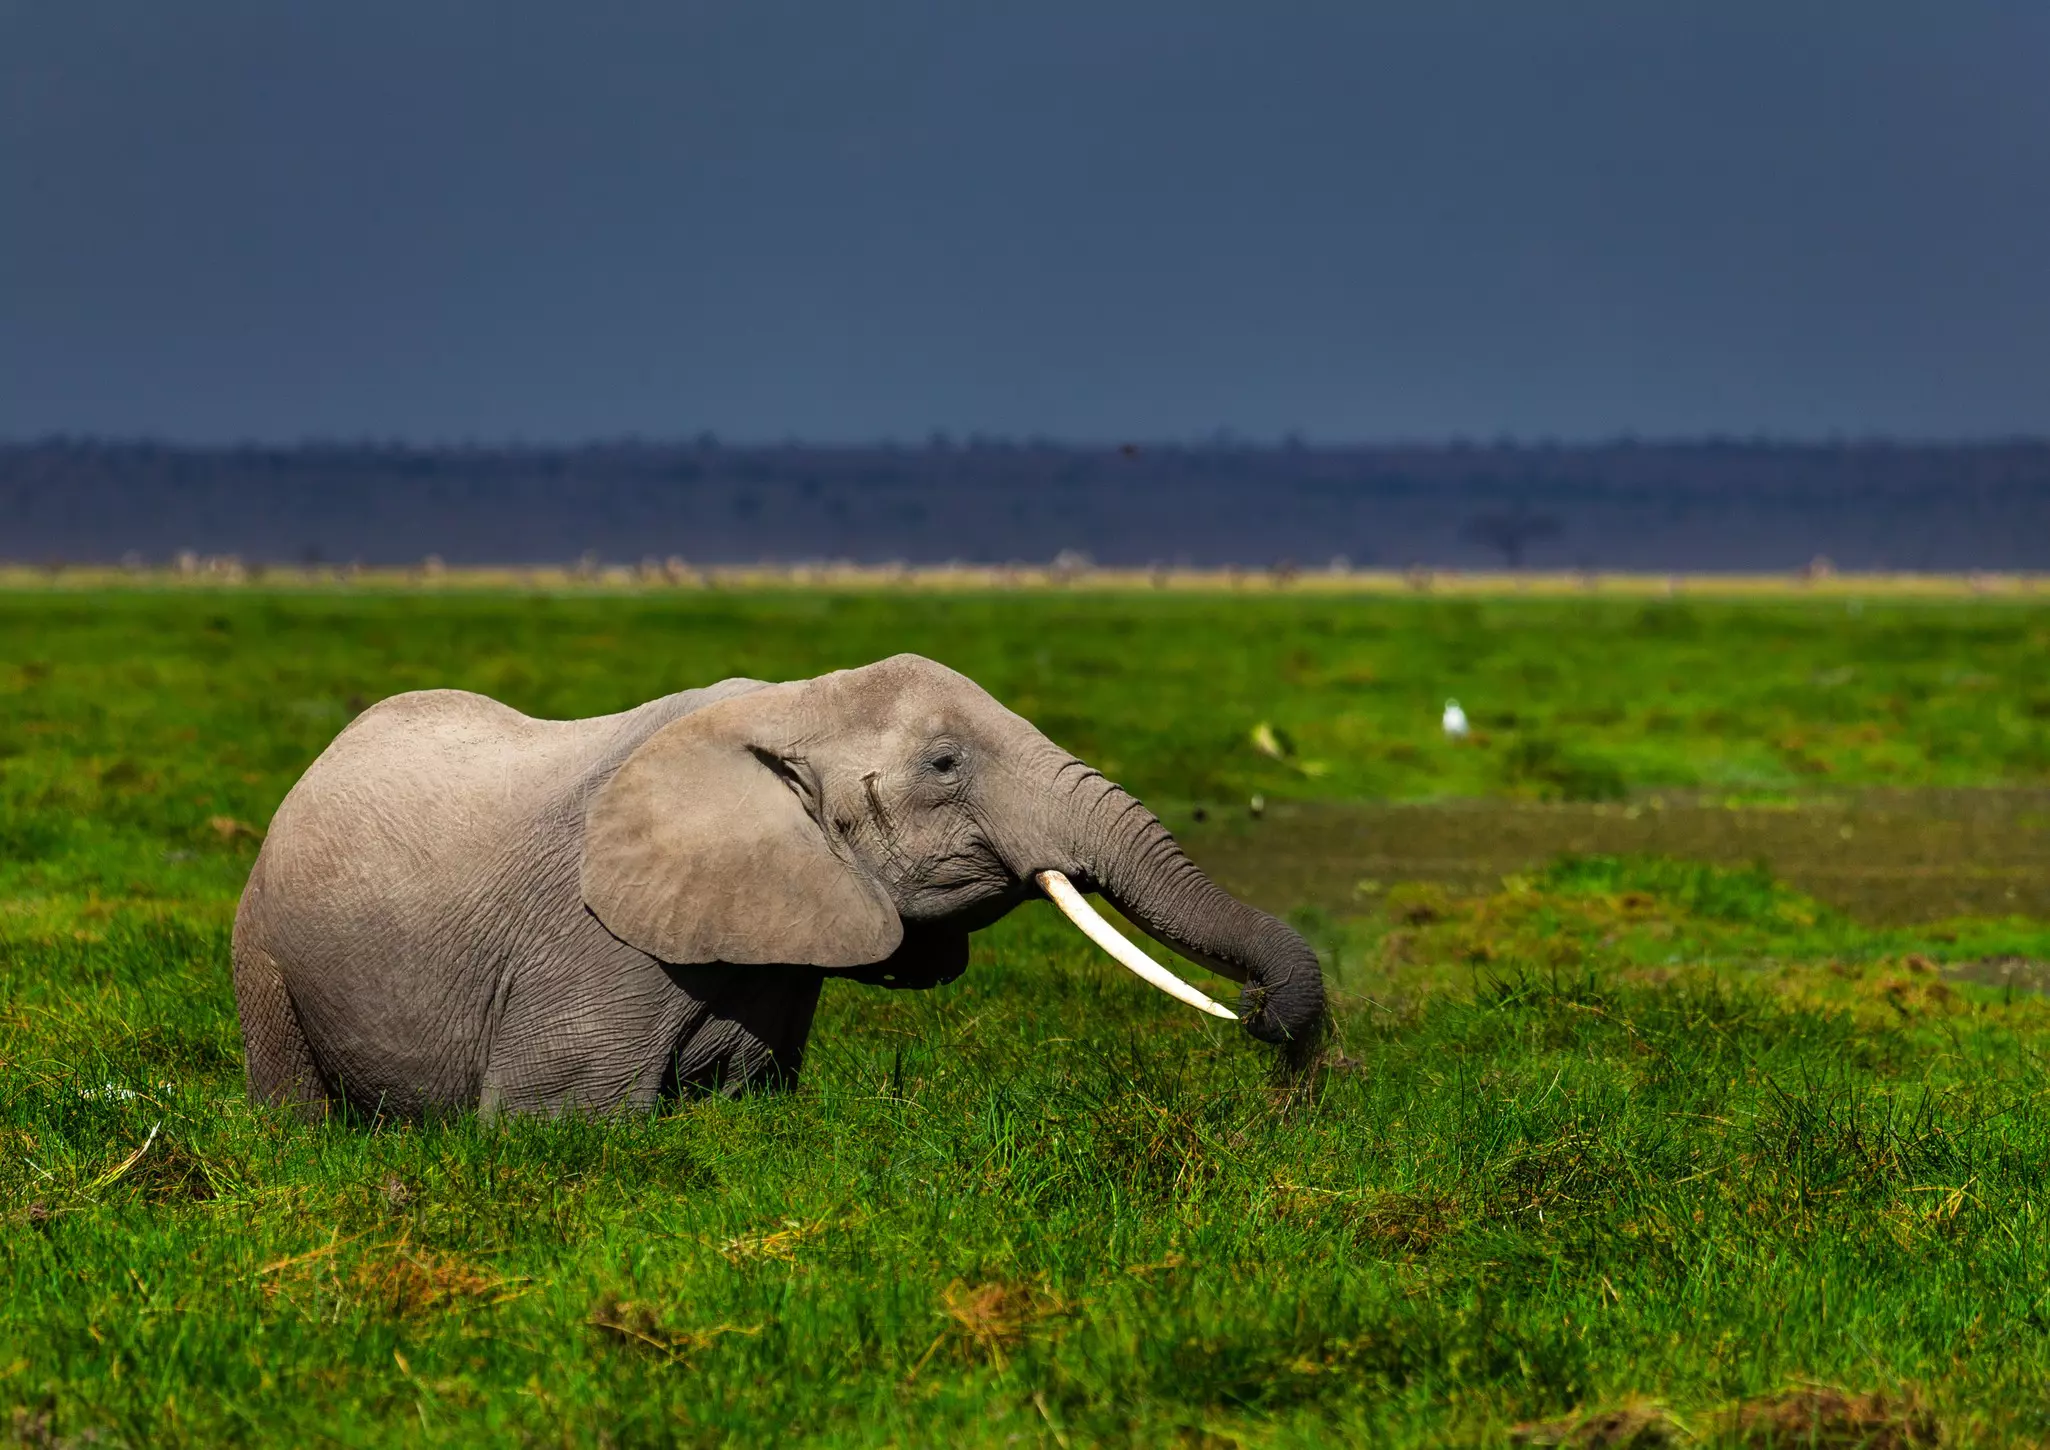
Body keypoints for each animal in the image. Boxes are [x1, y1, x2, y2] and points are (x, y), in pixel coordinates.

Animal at [232, 653, 1326, 1118]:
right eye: (944, 765)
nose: (1262, 1017)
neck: (794, 700)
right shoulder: (591, 946)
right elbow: (559, 1119)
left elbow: (748, 1098)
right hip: (262, 945)